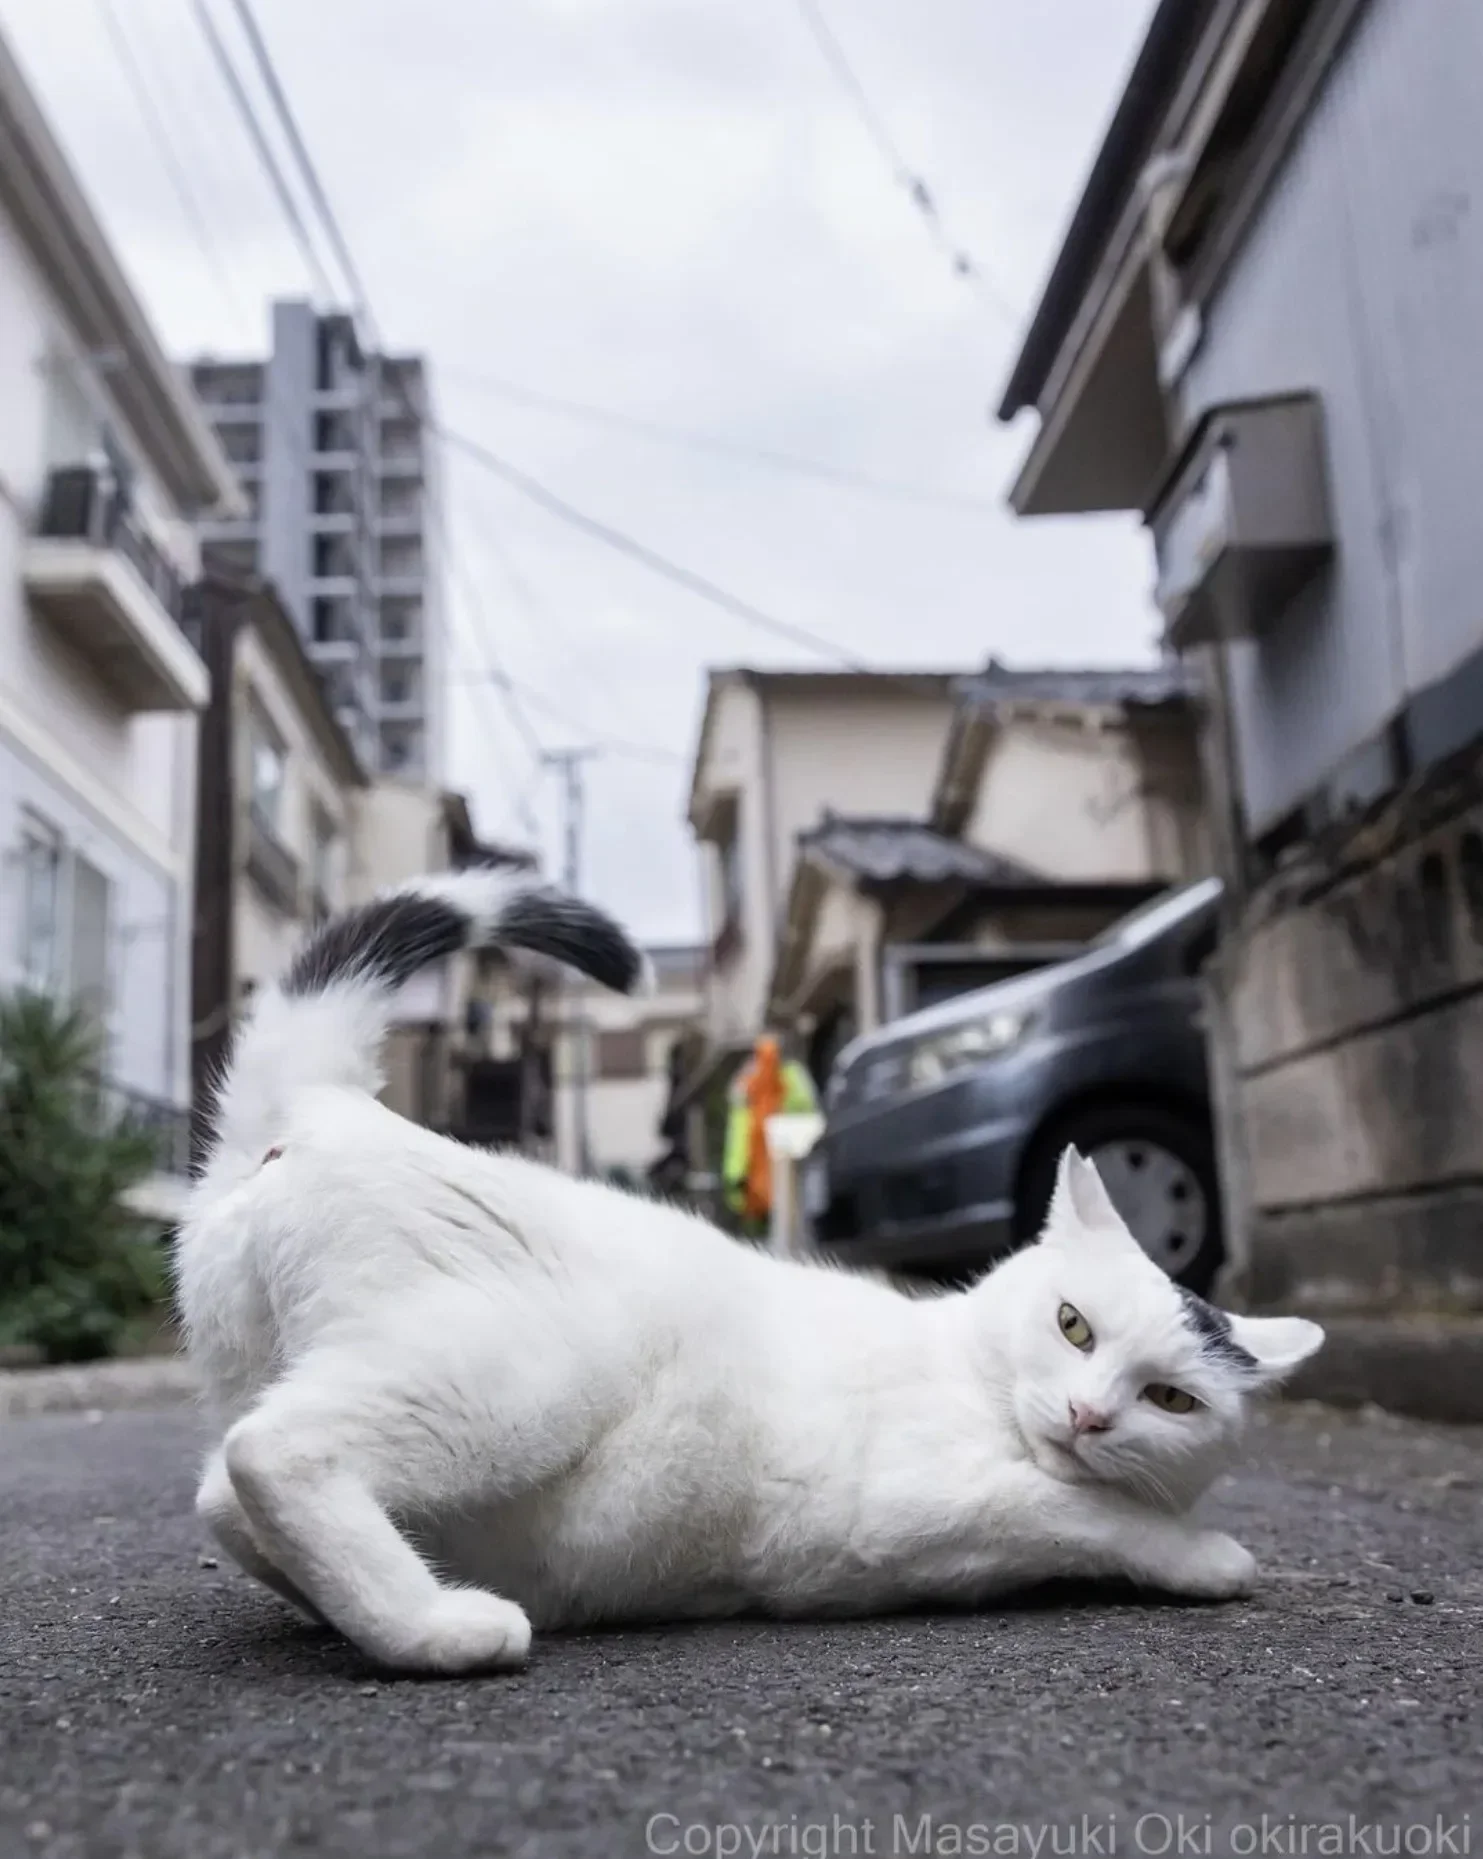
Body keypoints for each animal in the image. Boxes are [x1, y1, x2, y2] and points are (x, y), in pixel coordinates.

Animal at [180, 870, 1330, 1673]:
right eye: (1073, 1324)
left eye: (1172, 1398)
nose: (1090, 1415)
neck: (970, 1369)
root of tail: (325, 1105)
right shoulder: (922, 1503)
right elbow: (1090, 1514)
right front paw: (1204, 1556)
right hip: (522, 1375)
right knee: (273, 1452)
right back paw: (438, 1626)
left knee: (222, 1489)